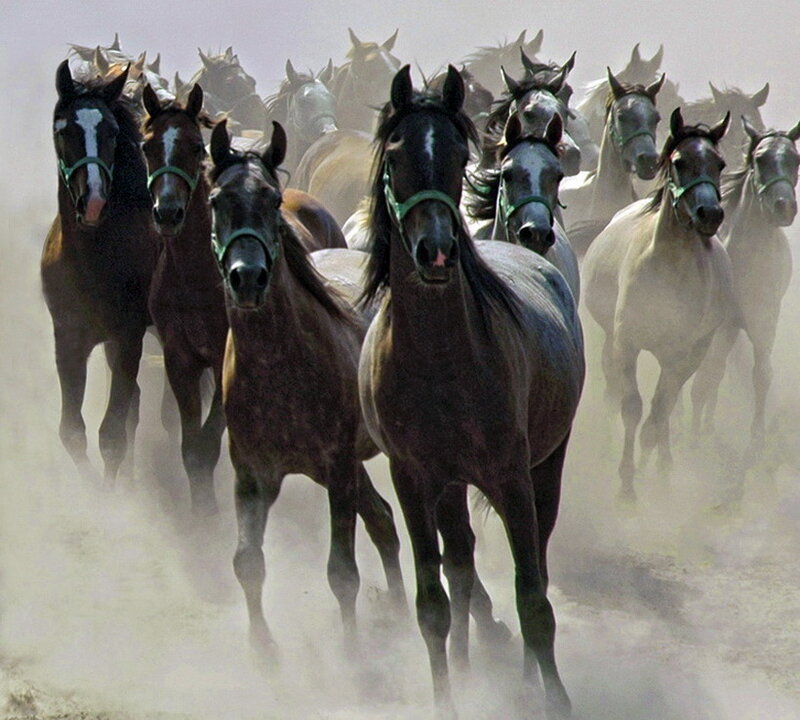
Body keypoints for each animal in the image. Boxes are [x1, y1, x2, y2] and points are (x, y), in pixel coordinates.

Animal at [41, 61, 161, 484]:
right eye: (64, 130)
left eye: (110, 131)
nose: (92, 202)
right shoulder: (68, 338)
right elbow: (71, 431)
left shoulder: (128, 337)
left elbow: (111, 435)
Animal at [206, 118, 407, 653]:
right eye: (216, 200)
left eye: (272, 199)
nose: (248, 278)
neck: (281, 367)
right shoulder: (253, 476)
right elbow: (246, 562)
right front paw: (264, 652)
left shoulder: (336, 468)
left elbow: (342, 573)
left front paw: (353, 654)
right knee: (382, 520)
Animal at [582, 108, 732, 502]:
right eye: (679, 162)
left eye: (720, 163)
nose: (710, 214)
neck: (669, 267)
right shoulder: (627, 343)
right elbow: (632, 408)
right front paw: (626, 486)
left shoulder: (682, 353)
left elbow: (659, 412)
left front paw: (654, 473)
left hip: (686, 355)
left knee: (668, 404)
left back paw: (661, 465)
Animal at [691, 117, 800, 456]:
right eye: (760, 159)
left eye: (795, 160)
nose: (783, 207)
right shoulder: (721, 323)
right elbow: (708, 373)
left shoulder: (764, 319)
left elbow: (761, 374)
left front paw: (757, 439)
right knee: (711, 372)